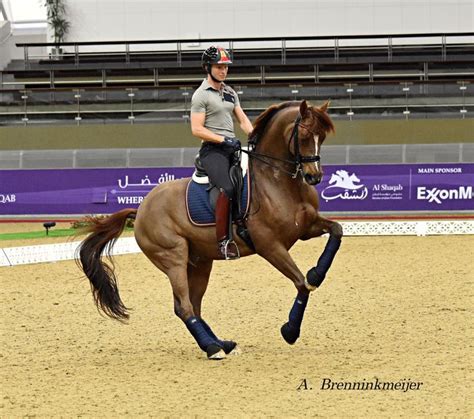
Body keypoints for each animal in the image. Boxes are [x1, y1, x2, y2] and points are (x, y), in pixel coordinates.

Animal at [78, 99, 344, 360]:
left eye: (322, 136)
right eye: (305, 135)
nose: (314, 177)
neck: (277, 181)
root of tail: (141, 208)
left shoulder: (306, 228)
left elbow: (337, 231)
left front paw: (317, 273)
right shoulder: (269, 245)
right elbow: (301, 283)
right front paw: (290, 330)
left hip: (200, 261)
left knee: (194, 305)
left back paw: (222, 344)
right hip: (173, 258)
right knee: (184, 306)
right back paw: (212, 348)